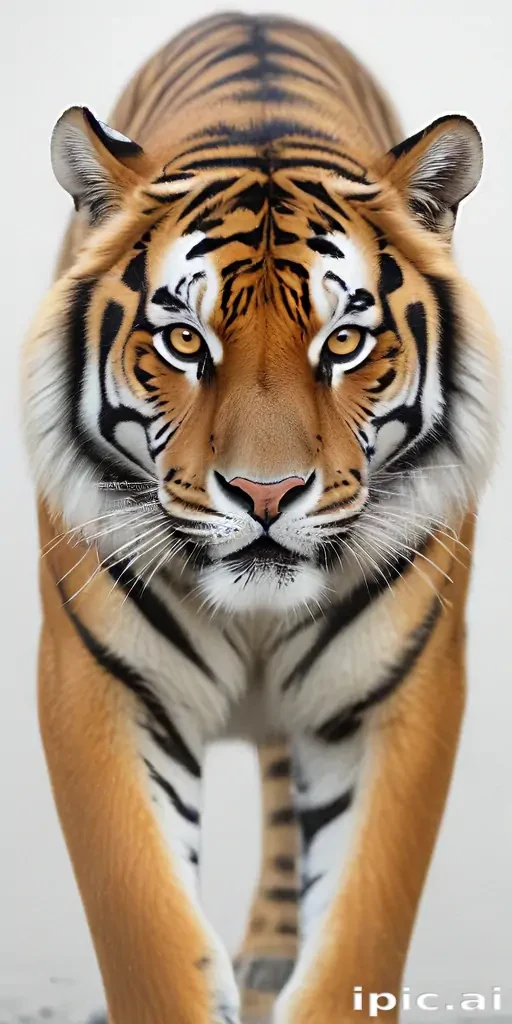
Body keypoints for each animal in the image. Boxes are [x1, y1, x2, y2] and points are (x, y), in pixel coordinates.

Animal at [22, 11, 499, 1024]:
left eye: (345, 341)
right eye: (183, 340)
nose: (268, 495)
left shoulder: (398, 690)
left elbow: (360, 931)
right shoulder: (100, 684)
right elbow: (147, 930)